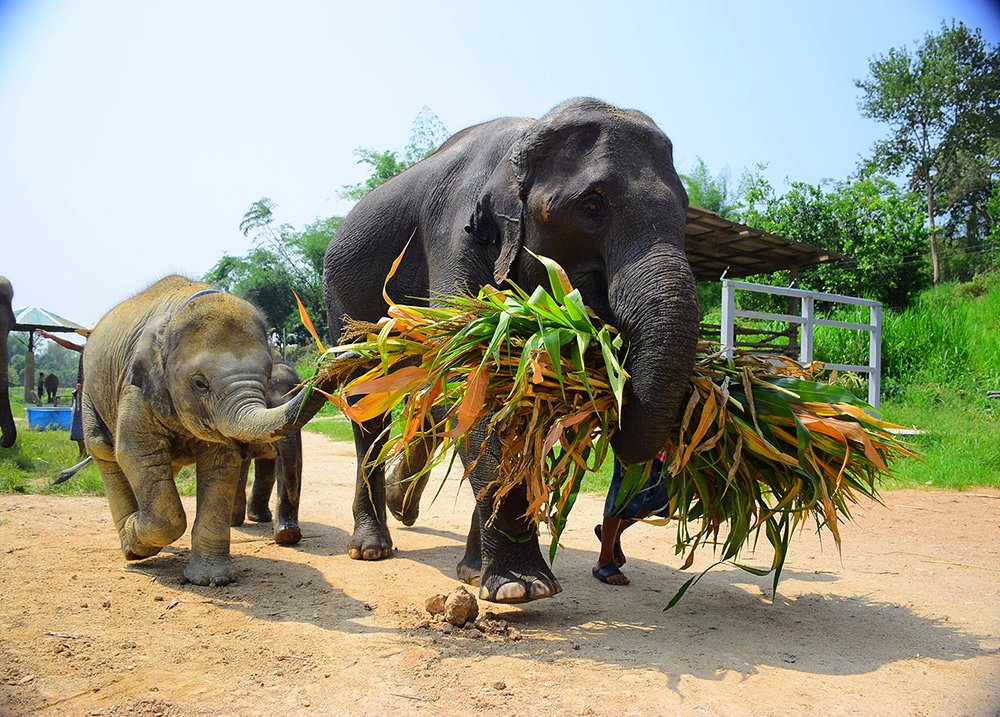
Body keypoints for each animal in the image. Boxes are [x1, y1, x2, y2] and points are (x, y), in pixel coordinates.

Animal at [84, 276, 314, 584]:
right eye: (199, 383)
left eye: (266, 376)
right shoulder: (136, 388)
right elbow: (136, 451)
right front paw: (137, 536)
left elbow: (220, 463)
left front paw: (212, 579)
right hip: (90, 394)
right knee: (104, 451)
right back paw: (132, 547)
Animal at [324, 98, 700, 604]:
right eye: (592, 206)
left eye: (685, 211)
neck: (527, 138)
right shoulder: (454, 232)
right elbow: (471, 378)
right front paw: (522, 588)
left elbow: (519, 398)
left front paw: (475, 573)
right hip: (343, 304)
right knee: (368, 402)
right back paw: (372, 546)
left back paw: (404, 507)